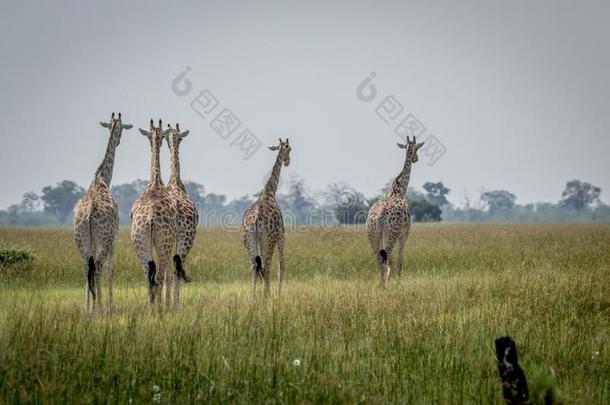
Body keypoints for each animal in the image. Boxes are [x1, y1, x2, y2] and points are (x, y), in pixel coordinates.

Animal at [72, 112, 132, 310]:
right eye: (121, 128)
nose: (119, 140)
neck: (101, 179)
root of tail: (90, 212)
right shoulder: (114, 237)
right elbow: (111, 270)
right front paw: (110, 306)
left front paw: (91, 306)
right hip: (104, 239)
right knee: (98, 266)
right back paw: (99, 307)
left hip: (81, 237)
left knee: (86, 267)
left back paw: (88, 308)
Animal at [241, 137, 290, 296]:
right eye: (289, 148)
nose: (287, 162)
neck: (270, 191)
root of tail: (256, 219)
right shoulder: (281, 234)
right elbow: (281, 265)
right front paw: (279, 295)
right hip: (268, 240)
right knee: (266, 267)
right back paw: (266, 296)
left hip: (249, 239)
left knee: (254, 266)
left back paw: (254, 296)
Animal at [366, 137, 422, 286]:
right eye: (417, 148)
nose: (416, 158)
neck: (399, 188)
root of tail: (379, 217)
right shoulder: (405, 233)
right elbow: (399, 261)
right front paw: (398, 284)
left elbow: (392, 262)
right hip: (390, 235)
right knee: (386, 259)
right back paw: (385, 284)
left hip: (373, 236)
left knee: (380, 260)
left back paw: (381, 284)